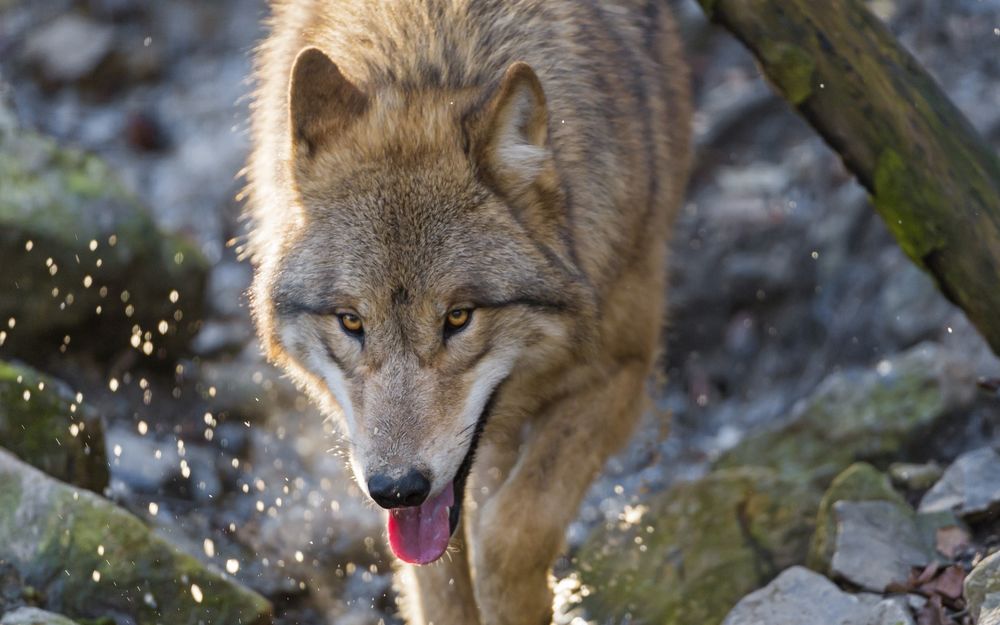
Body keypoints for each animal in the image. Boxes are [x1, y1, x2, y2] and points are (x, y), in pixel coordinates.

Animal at [246, 1, 691, 623]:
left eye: (458, 318)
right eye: (352, 322)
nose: (397, 488)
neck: (431, 59)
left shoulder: (622, 368)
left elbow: (512, 531)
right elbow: (439, 581)